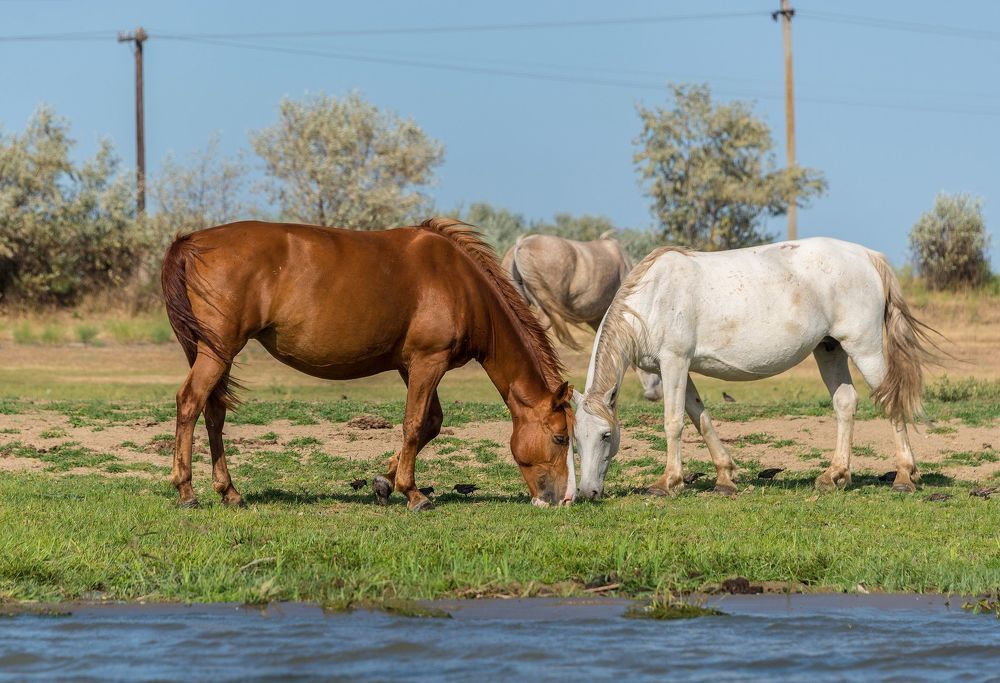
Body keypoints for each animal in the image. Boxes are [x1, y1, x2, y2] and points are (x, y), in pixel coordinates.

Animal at [161, 217, 576, 512]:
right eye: (561, 437)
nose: (559, 499)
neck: (461, 284)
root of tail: (192, 241)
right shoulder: (428, 362)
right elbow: (414, 424)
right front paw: (414, 494)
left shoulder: (412, 367)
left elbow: (430, 424)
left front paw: (384, 483)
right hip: (218, 352)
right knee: (190, 402)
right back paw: (186, 490)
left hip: (218, 352)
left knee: (213, 412)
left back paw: (229, 491)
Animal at [571, 237, 936, 500]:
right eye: (575, 438)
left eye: (606, 435)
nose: (588, 493)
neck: (654, 297)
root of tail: (867, 255)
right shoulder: (674, 370)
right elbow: (700, 417)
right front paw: (724, 477)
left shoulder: (674, 361)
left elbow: (674, 422)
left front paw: (668, 482)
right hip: (830, 350)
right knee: (845, 403)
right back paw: (834, 476)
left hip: (864, 348)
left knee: (891, 401)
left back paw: (904, 476)